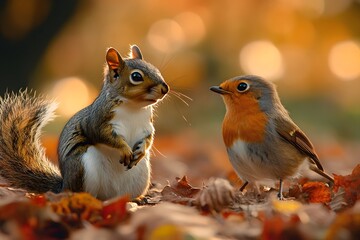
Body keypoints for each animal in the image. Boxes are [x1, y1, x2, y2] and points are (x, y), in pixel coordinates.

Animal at [0, 45, 169, 201]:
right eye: (136, 76)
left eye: (155, 69)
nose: (165, 88)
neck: (134, 107)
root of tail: (64, 186)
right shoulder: (97, 121)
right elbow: (103, 135)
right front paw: (125, 149)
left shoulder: (147, 126)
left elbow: (149, 139)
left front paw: (141, 150)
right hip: (83, 167)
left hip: (141, 175)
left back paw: (136, 199)